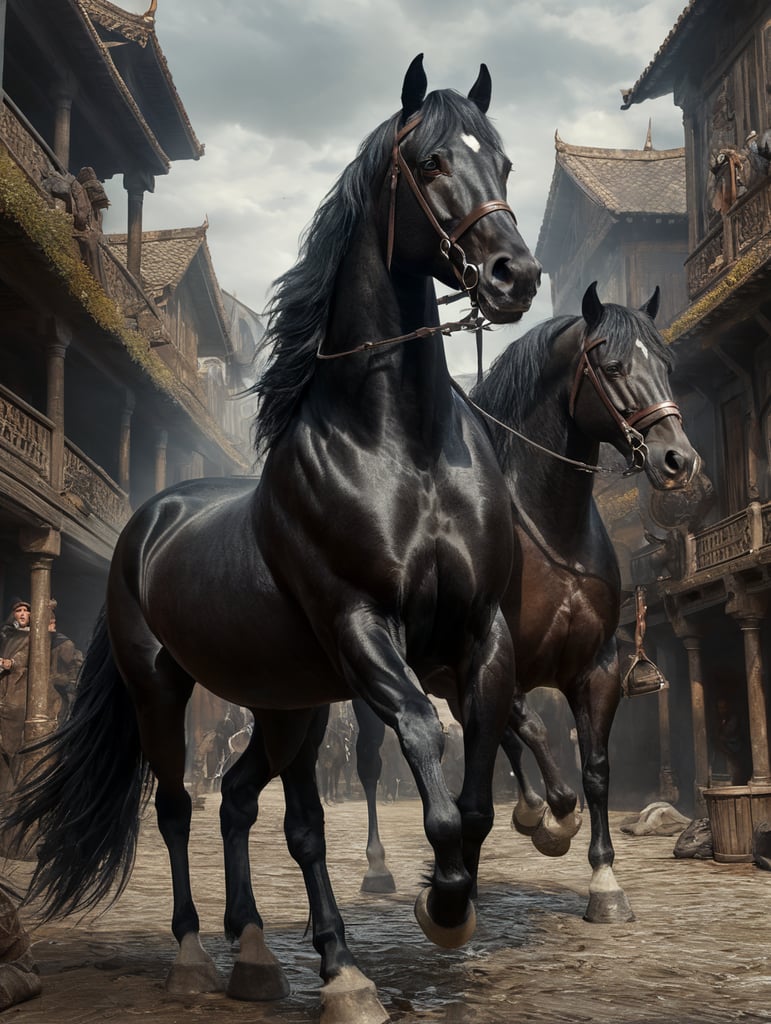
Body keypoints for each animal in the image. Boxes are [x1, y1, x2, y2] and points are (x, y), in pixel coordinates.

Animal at [7, 55, 542, 1023]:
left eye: (506, 163)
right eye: (433, 162)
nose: (512, 275)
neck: (402, 447)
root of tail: (146, 520)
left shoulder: (478, 631)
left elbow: (475, 795)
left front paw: (443, 908)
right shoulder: (363, 629)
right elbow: (425, 751)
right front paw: (438, 905)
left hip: (285, 700)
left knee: (246, 804)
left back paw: (269, 954)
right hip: (164, 688)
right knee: (181, 805)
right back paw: (197, 957)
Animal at [352, 282, 700, 923]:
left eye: (666, 365)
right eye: (613, 366)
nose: (678, 460)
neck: (550, 536)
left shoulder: (597, 669)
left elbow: (594, 769)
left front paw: (604, 883)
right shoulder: (498, 662)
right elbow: (536, 731)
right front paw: (555, 820)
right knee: (372, 763)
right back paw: (380, 867)